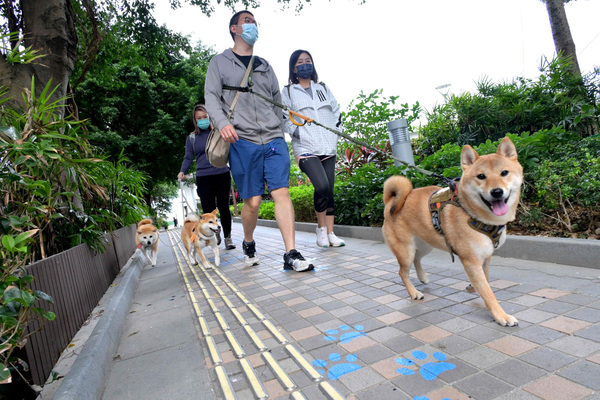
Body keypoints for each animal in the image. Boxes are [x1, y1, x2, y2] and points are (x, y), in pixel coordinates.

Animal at [384, 136, 520, 326]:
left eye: (504, 173)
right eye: (481, 176)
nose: (497, 192)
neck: (472, 212)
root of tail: (390, 203)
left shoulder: (485, 257)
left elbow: (484, 281)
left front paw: (473, 288)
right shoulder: (471, 260)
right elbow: (488, 292)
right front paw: (501, 316)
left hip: (425, 245)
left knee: (417, 260)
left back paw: (422, 278)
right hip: (406, 251)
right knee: (402, 272)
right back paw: (414, 293)